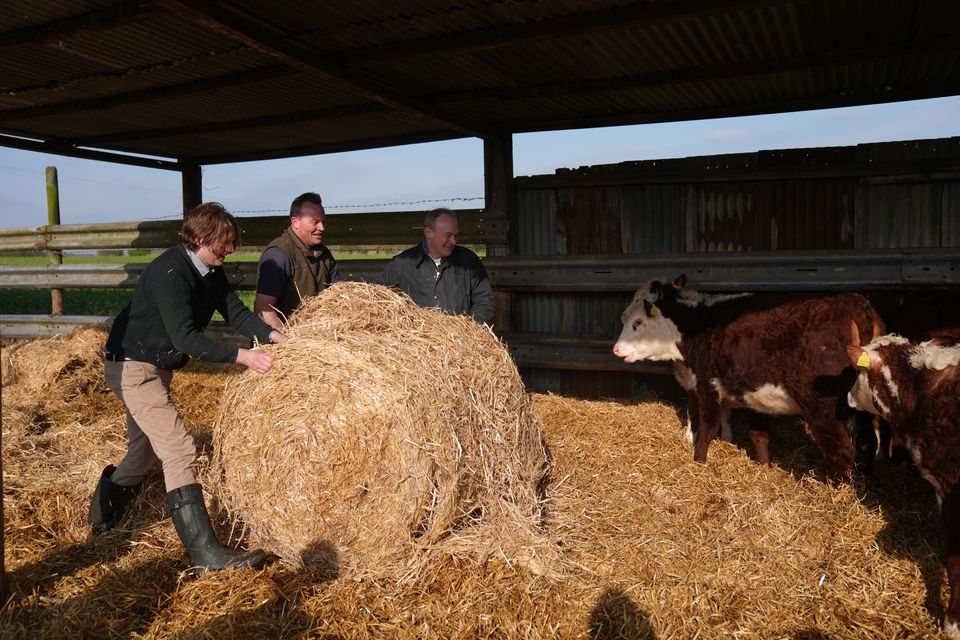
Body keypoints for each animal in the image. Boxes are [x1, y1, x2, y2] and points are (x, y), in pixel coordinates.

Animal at [616, 276, 884, 480]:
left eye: (638, 321)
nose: (617, 350)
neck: (698, 324)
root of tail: (855, 303)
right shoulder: (755, 393)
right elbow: (757, 434)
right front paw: (763, 466)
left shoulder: (706, 384)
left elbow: (707, 428)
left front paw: (698, 461)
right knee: (868, 443)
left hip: (822, 408)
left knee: (842, 449)